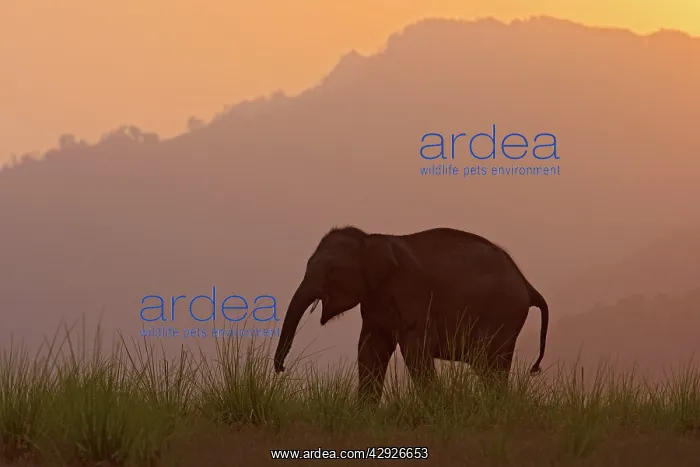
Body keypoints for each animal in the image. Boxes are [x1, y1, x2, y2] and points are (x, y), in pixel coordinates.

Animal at [273, 226, 549, 404]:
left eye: (331, 272)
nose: (281, 368)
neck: (371, 240)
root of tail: (528, 285)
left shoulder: (411, 291)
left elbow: (415, 348)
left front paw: (435, 407)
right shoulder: (375, 302)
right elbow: (370, 350)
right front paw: (364, 413)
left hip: (503, 316)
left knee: (491, 365)